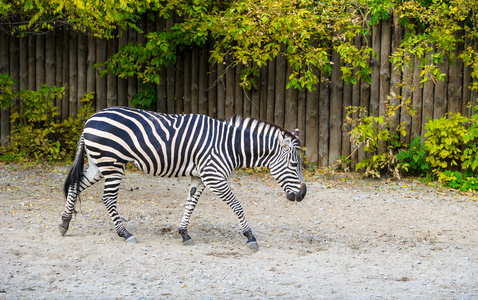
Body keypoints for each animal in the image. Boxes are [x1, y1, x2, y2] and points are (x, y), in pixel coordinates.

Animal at [59, 106, 306, 250]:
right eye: (294, 165)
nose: (303, 194)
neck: (229, 145)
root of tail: (89, 120)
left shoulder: (199, 178)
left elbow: (190, 204)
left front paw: (184, 233)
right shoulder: (214, 177)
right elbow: (237, 205)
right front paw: (250, 236)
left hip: (98, 165)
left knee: (75, 186)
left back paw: (64, 224)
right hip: (112, 164)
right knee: (108, 199)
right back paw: (125, 233)